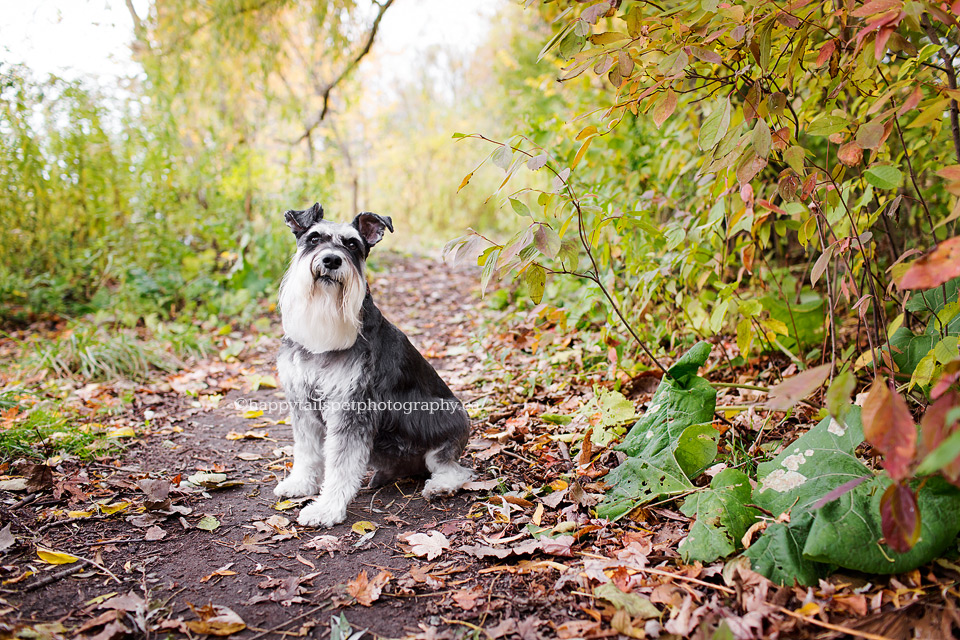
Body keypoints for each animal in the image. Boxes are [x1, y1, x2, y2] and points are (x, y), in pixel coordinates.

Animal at [274, 204, 472, 524]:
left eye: (353, 244)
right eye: (314, 238)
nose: (331, 260)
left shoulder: (352, 407)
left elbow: (340, 464)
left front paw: (326, 509)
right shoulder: (302, 404)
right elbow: (307, 451)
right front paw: (301, 483)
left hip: (448, 417)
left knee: (454, 468)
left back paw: (440, 486)